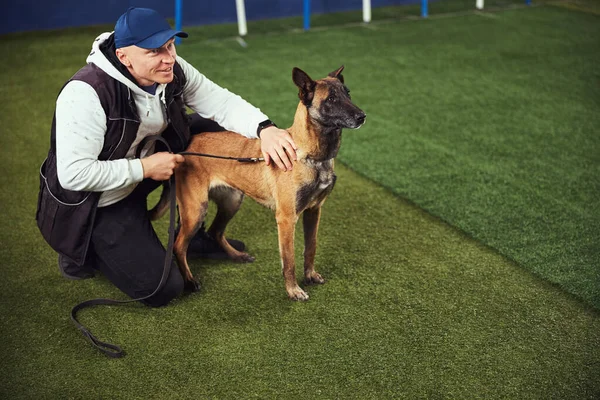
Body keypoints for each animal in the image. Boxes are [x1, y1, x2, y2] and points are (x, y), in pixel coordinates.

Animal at [154, 66, 366, 300]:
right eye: (331, 99)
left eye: (348, 94)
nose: (362, 116)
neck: (309, 155)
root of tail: (182, 150)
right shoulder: (286, 218)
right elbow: (289, 260)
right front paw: (293, 290)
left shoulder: (314, 211)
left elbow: (311, 247)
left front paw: (310, 275)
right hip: (196, 209)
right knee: (179, 245)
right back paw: (190, 280)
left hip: (231, 202)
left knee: (215, 232)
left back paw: (237, 256)